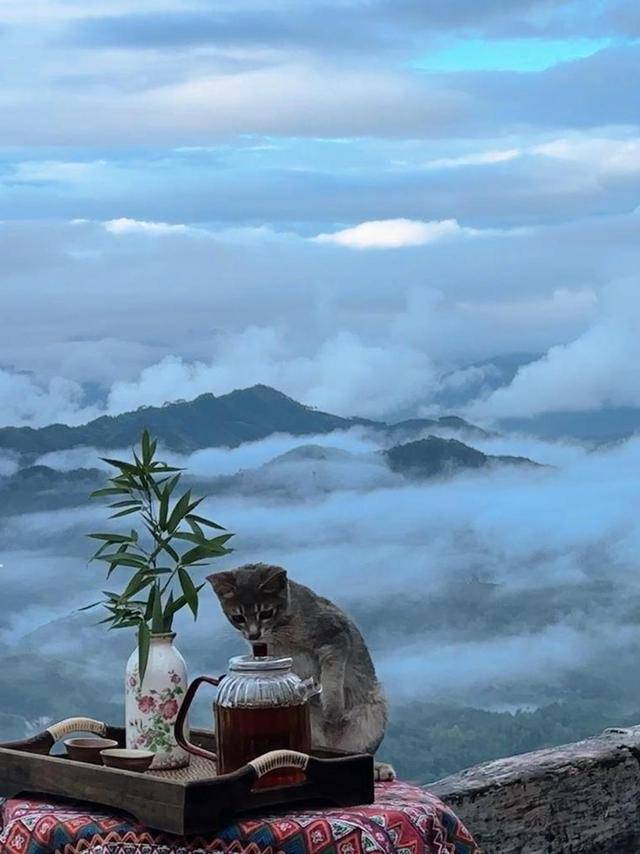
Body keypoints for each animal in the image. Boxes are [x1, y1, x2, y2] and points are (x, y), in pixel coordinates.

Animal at [208, 564, 396, 780]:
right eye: (238, 617)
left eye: (266, 613)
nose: (253, 634)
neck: (282, 631)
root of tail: (332, 743)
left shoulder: (336, 636)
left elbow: (332, 678)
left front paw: (333, 709)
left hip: (373, 713)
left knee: (358, 753)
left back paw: (376, 768)